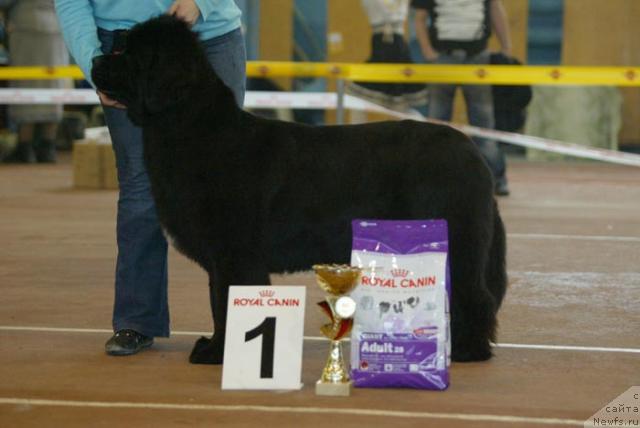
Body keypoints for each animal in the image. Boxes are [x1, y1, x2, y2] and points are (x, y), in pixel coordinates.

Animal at [92, 15, 508, 364]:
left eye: (127, 53)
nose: (95, 60)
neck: (192, 127)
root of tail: (471, 149)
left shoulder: (235, 251)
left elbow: (227, 301)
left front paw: (218, 354)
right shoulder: (222, 254)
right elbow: (217, 301)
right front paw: (215, 346)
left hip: (453, 237)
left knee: (473, 295)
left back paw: (466, 351)